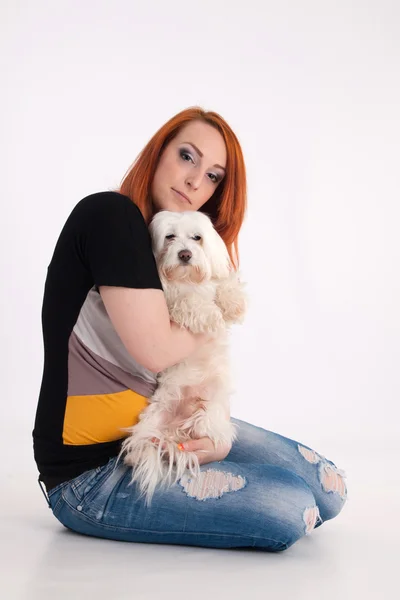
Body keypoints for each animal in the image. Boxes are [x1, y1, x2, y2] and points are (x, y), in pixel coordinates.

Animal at [119, 209, 247, 504]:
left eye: (197, 238)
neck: (187, 280)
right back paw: (135, 455)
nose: (185, 254)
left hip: (213, 404)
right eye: (170, 237)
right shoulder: (167, 305)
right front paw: (210, 314)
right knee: (142, 440)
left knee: (209, 425)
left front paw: (233, 303)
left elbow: (224, 284)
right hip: (153, 418)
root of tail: (176, 429)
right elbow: (188, 302)